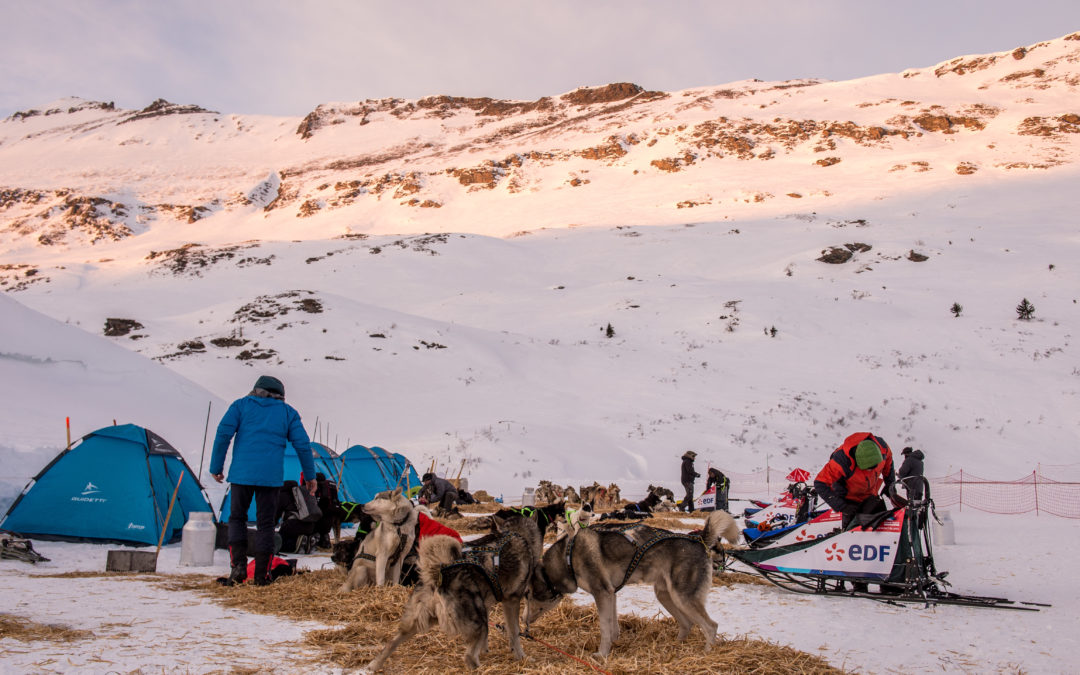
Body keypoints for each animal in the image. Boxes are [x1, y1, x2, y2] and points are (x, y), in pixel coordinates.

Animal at [369, 516, 540, 669]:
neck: (515, 533)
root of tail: (436, 576)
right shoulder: (511, 600)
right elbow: (514, 633)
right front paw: (521, 657)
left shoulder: (486, 604)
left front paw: (485, 651)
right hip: (479, 624)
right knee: (470, 658)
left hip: (418, 621)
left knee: (390, 643)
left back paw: (373, 666)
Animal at [522, 514, 734, 656]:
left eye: (528, 595)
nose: (522, 620)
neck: (568, 558)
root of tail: (700, 540)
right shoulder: (611, 593)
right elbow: (613, 626)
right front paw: (614, 645)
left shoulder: (602, 593)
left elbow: (605, 628)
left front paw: (601, 655)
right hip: (665, 595)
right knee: (687, 624)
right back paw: (675, 646)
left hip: (682, 597)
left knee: (711, 626)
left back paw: (706, 653)